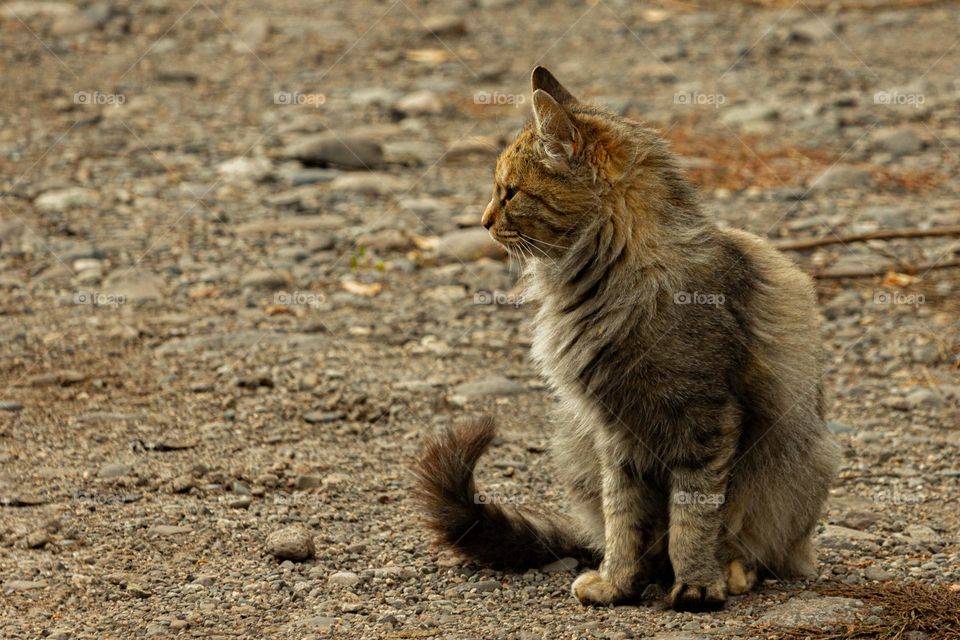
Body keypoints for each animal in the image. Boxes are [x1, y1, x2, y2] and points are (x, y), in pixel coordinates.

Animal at [412, 67, 840, 612]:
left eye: (509, 193)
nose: (484, 221)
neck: (611, 282)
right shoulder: (615, 434)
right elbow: (624, 520)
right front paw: (618, 583)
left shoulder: (705, 421)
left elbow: (694, 519)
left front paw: (697, 585)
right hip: (574, 444)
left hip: (802, 460)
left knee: (763, 551)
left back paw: (732, 572)